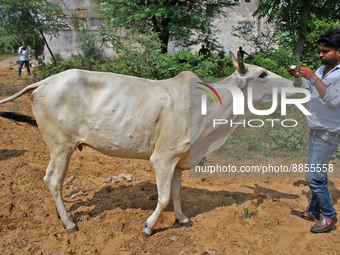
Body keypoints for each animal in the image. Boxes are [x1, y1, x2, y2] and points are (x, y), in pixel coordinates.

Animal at [0, 52, 292, 237]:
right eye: (262, 74)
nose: (294, 81)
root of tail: (43, 82)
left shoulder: (178, 161)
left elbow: (177, 193)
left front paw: (182, 219)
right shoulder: (162, 159)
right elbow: (163, 197)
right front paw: (148, 227)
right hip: (61, 145)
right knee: (53, 180)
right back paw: (69, 223)